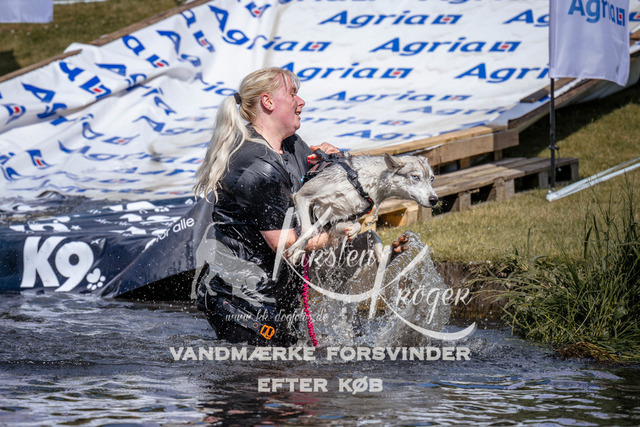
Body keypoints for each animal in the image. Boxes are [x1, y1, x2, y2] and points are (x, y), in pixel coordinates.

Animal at [285, 152, 438, 262]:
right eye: (415, 177)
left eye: (432, 178)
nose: (434, 200)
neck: (360, 183)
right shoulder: (302, 196)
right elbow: (307, 230)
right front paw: (296, 250)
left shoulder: (335, 223)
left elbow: (357, 226)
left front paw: (352, 230)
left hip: (369, 240)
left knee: (377, 248)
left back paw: (396, 249)